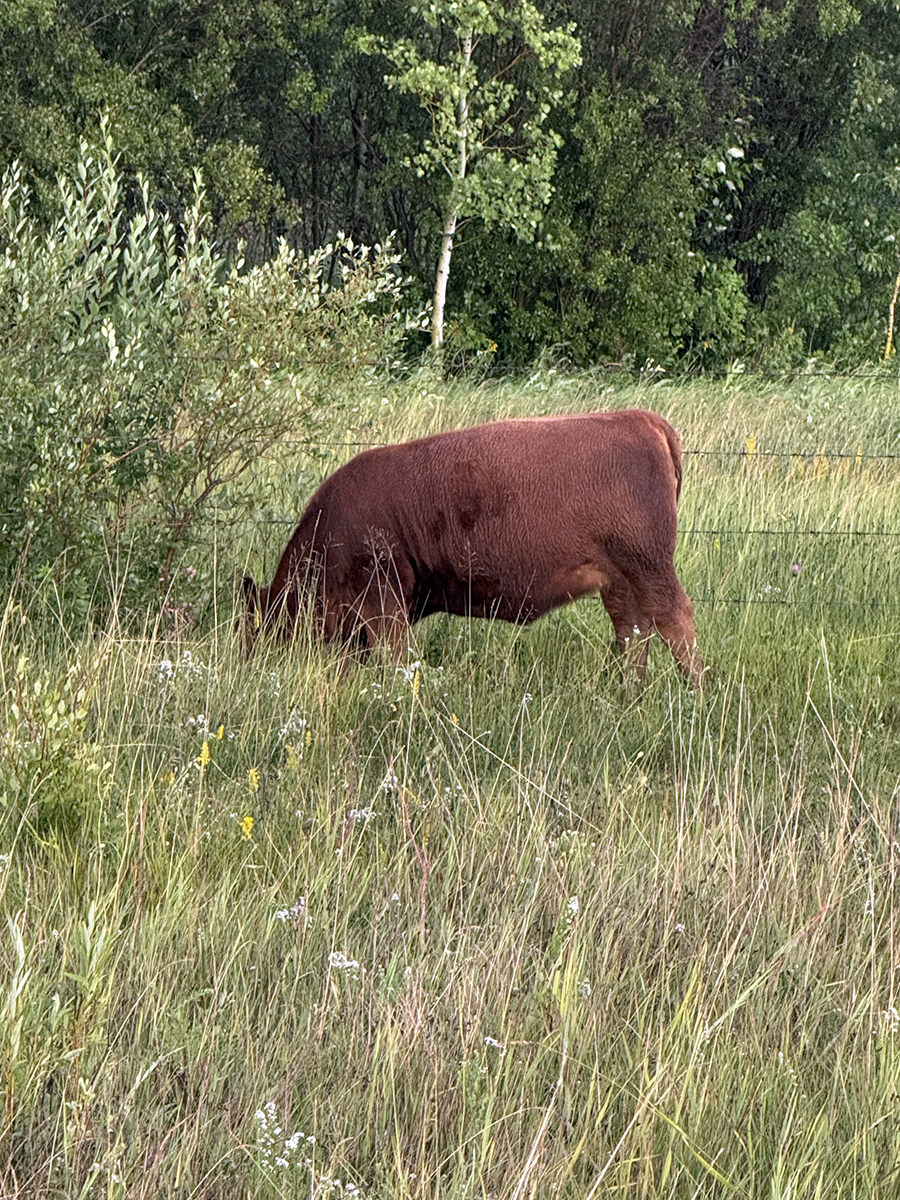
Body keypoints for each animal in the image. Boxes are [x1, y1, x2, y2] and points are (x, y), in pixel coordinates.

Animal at [242, 409, 702, 686]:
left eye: (254, 628)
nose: (249, 663)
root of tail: (641, 419)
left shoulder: (383, 604)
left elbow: (393, 656)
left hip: (650, 567)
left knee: (675, 621)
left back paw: (694, 692)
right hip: (621, 580)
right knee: (634, 630)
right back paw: (629, 694)